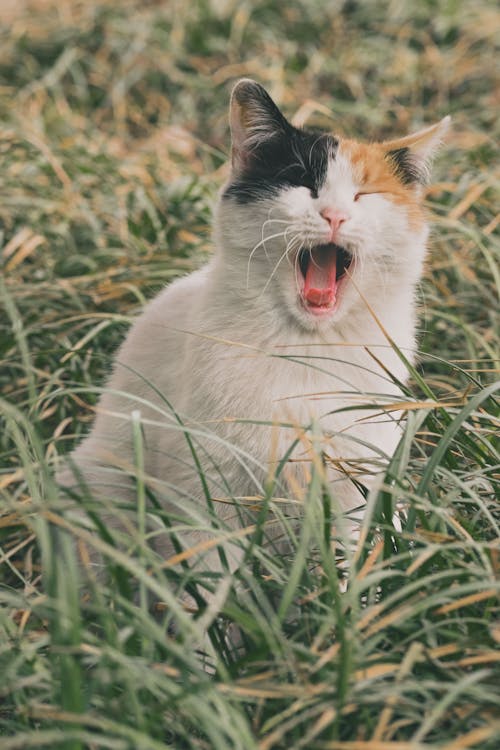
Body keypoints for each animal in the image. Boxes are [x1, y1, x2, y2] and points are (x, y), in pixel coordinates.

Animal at [57, 76, 450, 580]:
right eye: (302, 182)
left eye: (364, 195)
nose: (336, 215)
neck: (304, 350)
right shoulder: (206, 490)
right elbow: (214, 584)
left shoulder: (354, 493)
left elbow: (346, 571)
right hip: (100, 484)